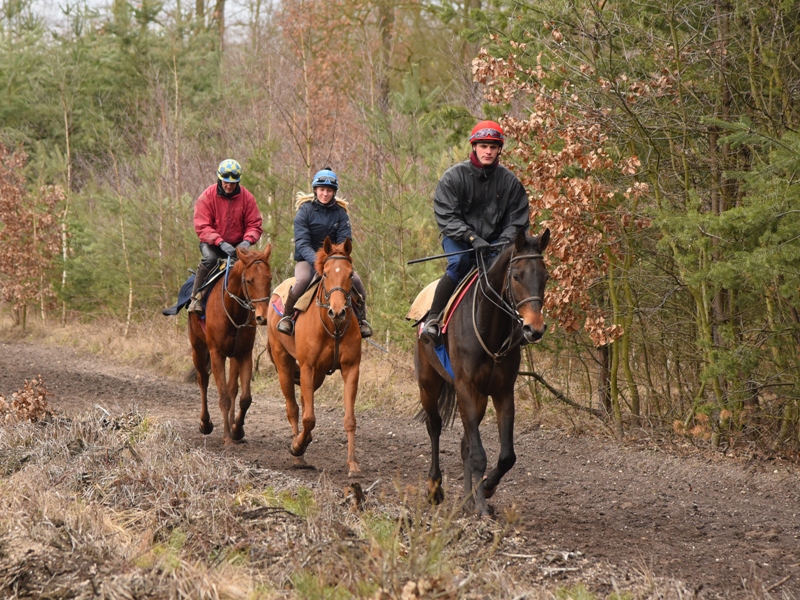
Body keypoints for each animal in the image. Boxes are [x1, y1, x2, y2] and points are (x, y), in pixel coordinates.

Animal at [189, 244, 274, 446]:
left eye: (269, 278)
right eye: (249, 280)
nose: (263, 317)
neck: (233, 310)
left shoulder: (244, 353)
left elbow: (244, 397)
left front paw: (237, 430)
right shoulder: (216, 353)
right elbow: (223, 397)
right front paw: (227, 436)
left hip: (233, 355)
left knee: (233, 388)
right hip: (198, 348)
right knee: (203, 380)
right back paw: (205, 423)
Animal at [268, 237, 362, 476]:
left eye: (350, 274)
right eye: (326, 274)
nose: (337, 311)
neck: (333, 326)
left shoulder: (351, 368)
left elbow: (350, 419)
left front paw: (353, 464)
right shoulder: (307, 367)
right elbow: (309, 418)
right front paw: (297, 447)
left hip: (316, 375)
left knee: (303, 402)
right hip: (284, 364)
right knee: (293, 408)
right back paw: (298, 454)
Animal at [412, 227, 552, 516]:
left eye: (545, 276)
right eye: (516, 275)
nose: (534, 329)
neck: (490, 327)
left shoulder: (502, 392)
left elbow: (506, 456)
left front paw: (485, 490)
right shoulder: (465, 387)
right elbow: (478, 453)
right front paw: (482, 506)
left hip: (478, 398)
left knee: (465, 442)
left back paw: (468, 499)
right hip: (428, 384)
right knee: (435, 427)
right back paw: (435, 488)